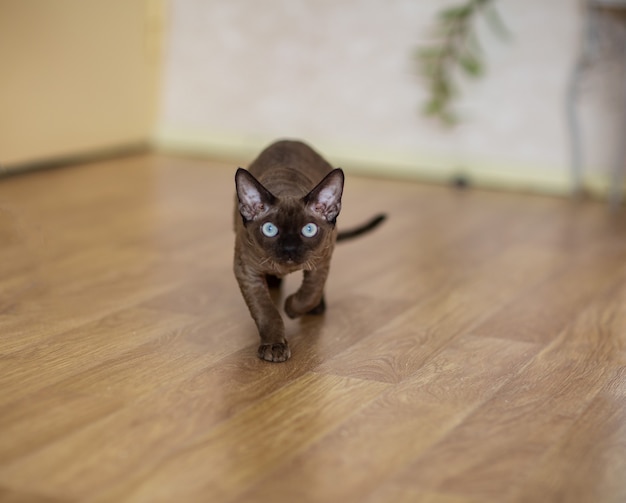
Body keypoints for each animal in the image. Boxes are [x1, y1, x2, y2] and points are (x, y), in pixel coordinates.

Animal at [232, 140, 382, 364]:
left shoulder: (321, 263)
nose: (289, 249)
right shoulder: (247, 272)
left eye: (308, 230)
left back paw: (317, 307)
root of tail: (291, 140)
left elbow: (309, 293)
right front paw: (274, 345)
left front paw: (290, 308)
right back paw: (274, 282)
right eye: (270, 229)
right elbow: (266, 311)